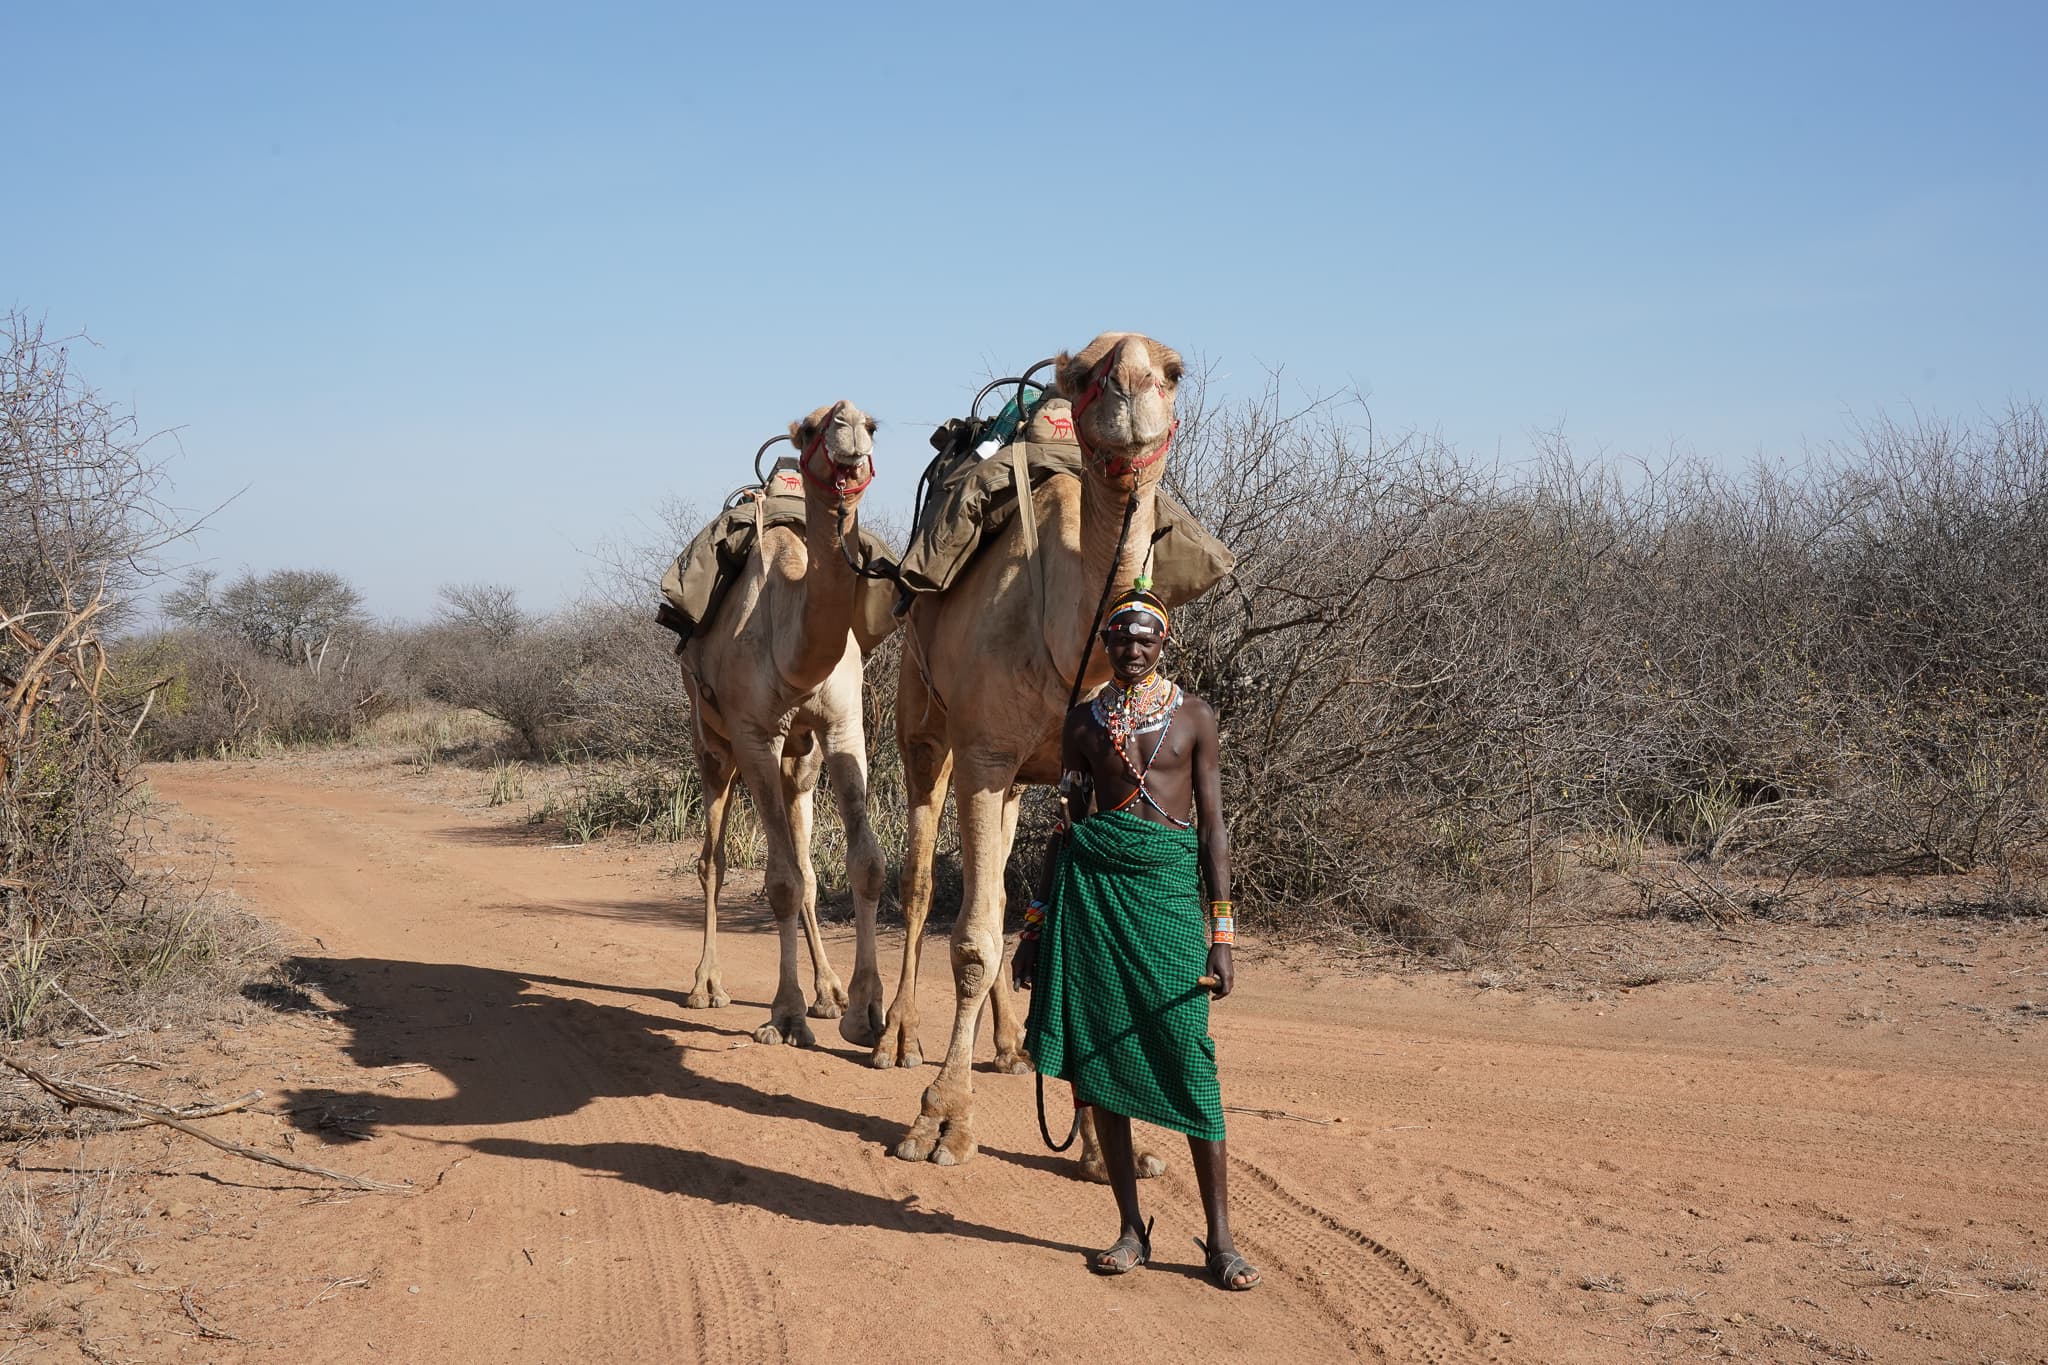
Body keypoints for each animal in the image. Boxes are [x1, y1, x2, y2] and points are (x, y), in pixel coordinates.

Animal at [676, 402, 891, 1049]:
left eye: (874, 424)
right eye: (814, 426)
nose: (851, 428)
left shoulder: (844, 726)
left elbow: (863, 864)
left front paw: (864, 1011)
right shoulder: (753, 737)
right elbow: (780, 883)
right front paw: (786, 1015)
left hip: (802, 762)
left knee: (807, 864)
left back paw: (829, 991)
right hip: (713, 747)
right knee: (713, 861)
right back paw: (707, 987)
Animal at [876, 333, 1187, 1174]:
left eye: (1174, 371)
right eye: (1082, 373)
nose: (1132, 380)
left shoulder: (1093, 776)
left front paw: (1107, 1147)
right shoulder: (984, 753)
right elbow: (974, 941)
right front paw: (941, 1121)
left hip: (1017, 778)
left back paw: (1013, 1046)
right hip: (924, 725)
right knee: (921, 879)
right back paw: (895, 1038)